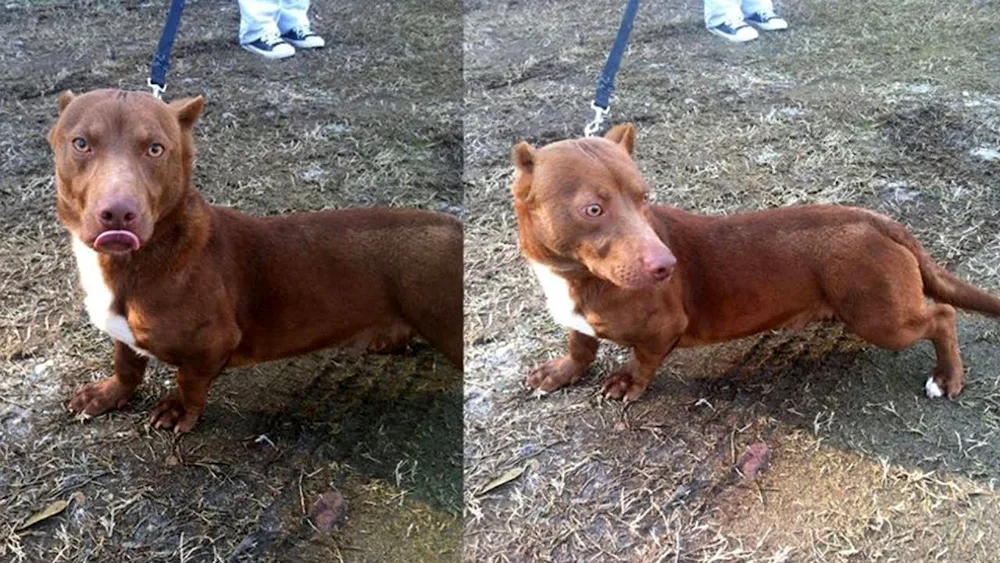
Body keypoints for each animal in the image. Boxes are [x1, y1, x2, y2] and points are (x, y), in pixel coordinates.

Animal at [50, 88, 464, 434]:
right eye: (81, 144)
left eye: (155, 149)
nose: (119, 213)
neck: (138, 259)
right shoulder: (124, 333)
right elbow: (127, 363)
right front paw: (109, 394)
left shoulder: (212, 344)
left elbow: (189, 382)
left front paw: (179, 410)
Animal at [512, 124, 1000, 400]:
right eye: (593, 209)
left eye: (642, 197)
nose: (666, 266)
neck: (573, 277)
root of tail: (878, 220)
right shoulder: (577, 321)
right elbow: (581, 345)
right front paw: (561, 372)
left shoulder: (663, 329)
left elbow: (642, 360)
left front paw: (627, 384)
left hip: (881, 318)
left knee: (943, 314)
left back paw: (947, 377)